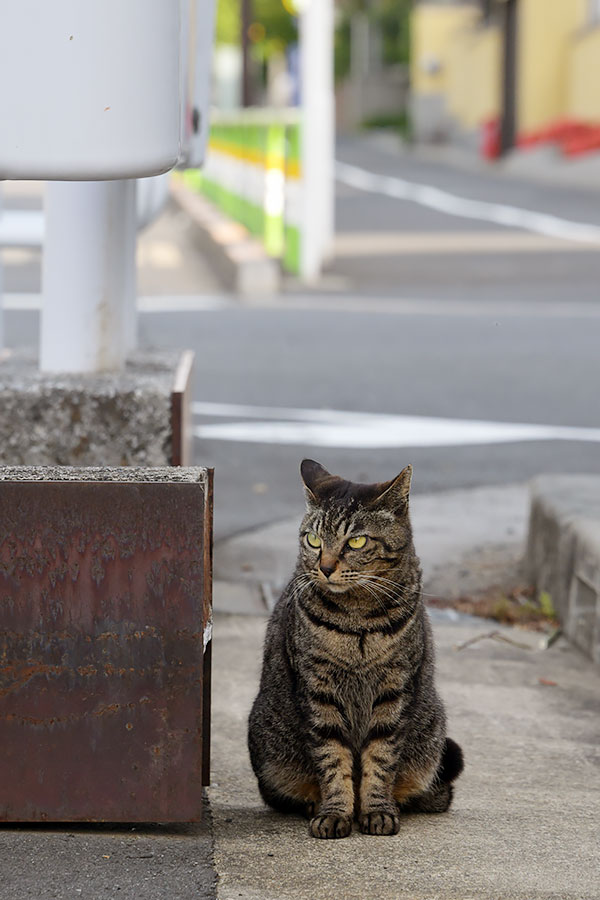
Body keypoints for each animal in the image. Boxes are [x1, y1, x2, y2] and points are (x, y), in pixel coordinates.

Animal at [248, 460, 464, 840]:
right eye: (314, 540)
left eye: (357, 541)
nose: (325, 567)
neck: (357, 620)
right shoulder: (318, 690)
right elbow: (333, 759)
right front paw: (335, 813)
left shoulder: (394, 689)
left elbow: (381, 758)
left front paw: (377, 810)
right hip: (267, 741)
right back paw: (313, 804)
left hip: (431, 734)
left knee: (438, 791)